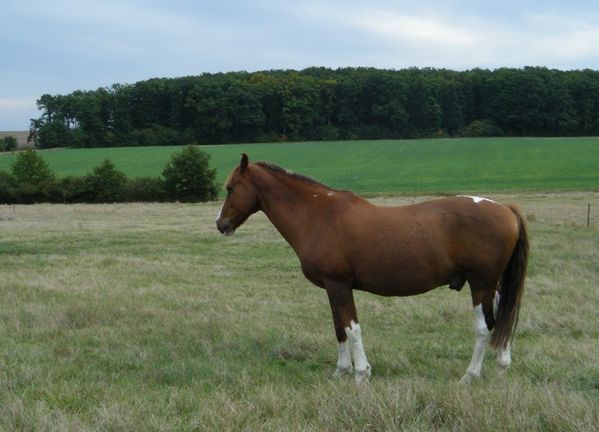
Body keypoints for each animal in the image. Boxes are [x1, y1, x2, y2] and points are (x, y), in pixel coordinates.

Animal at [216, 154, 528, 384]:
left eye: (231, 188)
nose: (221, 225)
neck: (318, 215)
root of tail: (506, 209)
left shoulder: (339, 284)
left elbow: (352, 328)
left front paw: (360, 374)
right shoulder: (332, 288)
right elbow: (339, 328)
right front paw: (340, 372)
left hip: (481, 284)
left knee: (485, 327)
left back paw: (469, 376)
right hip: (492, 285)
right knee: (502, 318)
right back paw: (501, 366)